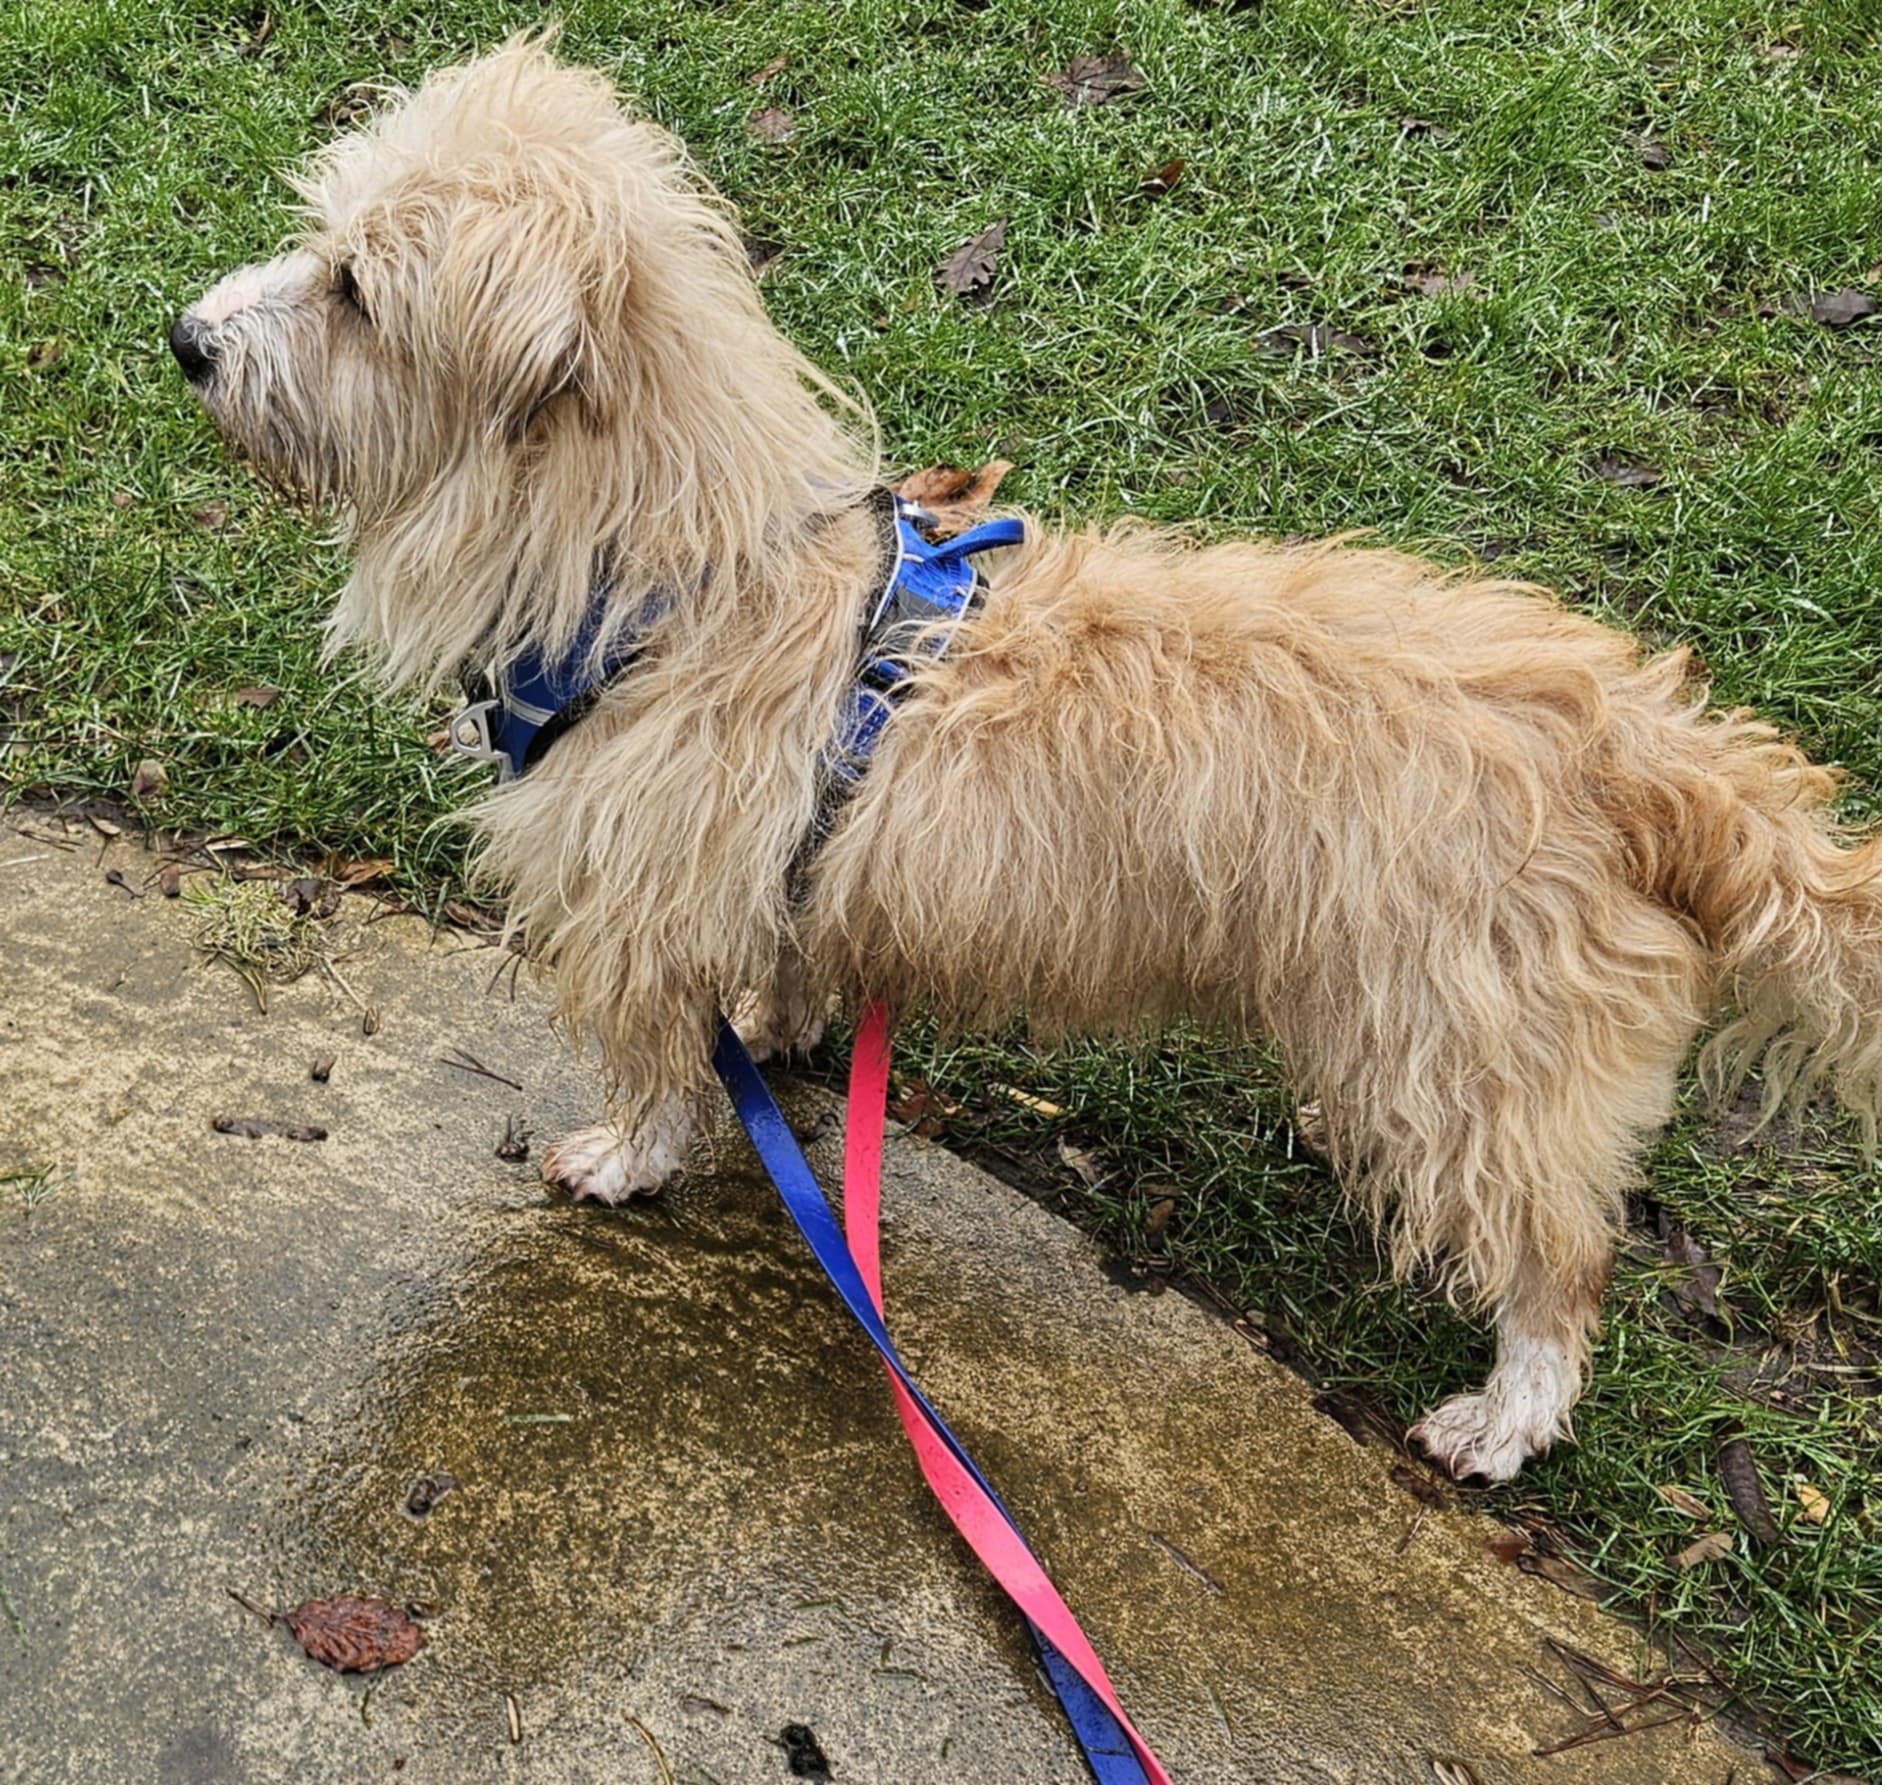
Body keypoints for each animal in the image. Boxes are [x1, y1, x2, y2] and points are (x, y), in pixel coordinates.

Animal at [172, 39, 1882, 1483]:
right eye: (320, 248)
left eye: (354, 291)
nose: (185, 339)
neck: (676, 567)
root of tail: (1637, 738)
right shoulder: (777, 874)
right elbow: (783, 963)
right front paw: (782, 1033)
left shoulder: (645, 911)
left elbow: (659, 1064)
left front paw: (623, 1158)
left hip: (1458, 1057)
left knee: (1556, 1259)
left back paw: (1507, 1409)